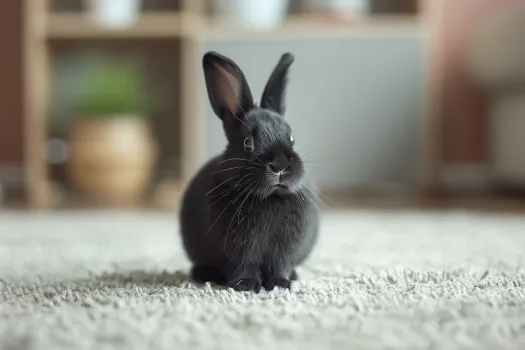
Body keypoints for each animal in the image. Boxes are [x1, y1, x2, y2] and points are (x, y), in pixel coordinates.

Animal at [180, 50, 320, 292]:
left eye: (292, 138)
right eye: (248, 142)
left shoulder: (283, 250)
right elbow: (244, 265)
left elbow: (279, 265)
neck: (269, 198)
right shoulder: (237, 250)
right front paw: (245, 285)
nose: (280, 164)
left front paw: (280, 283)